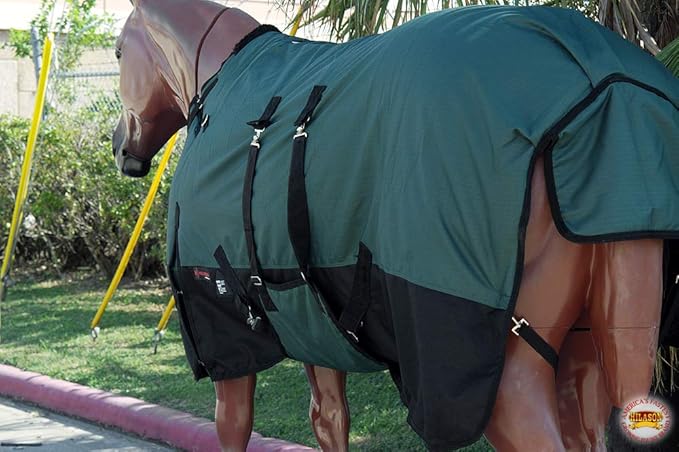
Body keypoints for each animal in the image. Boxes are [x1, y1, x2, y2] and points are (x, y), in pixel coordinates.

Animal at [112, 1, 679, 450]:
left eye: (117, 52)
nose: (121, 147)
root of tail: (604, 84)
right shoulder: (313, 326)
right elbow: (329, 421)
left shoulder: (225, 334)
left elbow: (233, 426)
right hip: (586, 356)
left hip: (504, 380)